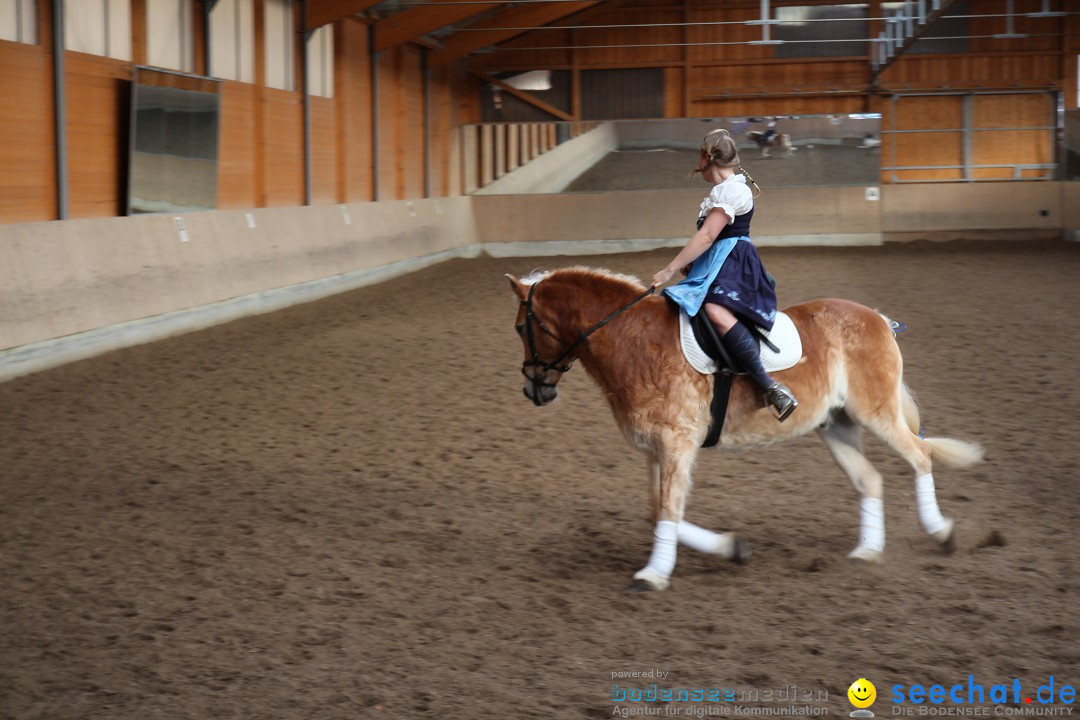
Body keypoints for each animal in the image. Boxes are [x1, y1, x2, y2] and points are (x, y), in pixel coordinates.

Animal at [505, 267, 989, 595]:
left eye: (521, 327)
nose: (533, 388)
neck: (633, 340)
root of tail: (877, 318)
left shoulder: (677, 443)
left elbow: (668, 510)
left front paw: (653, 574)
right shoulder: (655, 449)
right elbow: (658, 512)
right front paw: (731, 548)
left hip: (876, 412)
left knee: (919, 456)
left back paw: (941, 533)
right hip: (836, 425)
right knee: (870, 479)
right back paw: (867, 552)